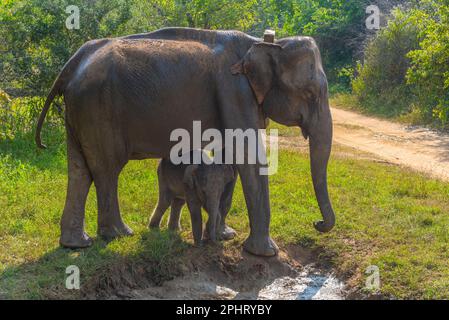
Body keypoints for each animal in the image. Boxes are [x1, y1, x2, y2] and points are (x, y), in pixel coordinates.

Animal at [36, 28, 334, 258]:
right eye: (311, 94)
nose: (317, 223)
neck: (263, 42)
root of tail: (74, 62)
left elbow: (230, 157)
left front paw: (225, 235)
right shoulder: (235, 92)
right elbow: (248, 157)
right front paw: (265, 253)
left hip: (80, 110)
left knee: (80, 170)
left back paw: (76, 244)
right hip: (97, 107)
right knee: (106, 171)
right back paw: (119, 234)